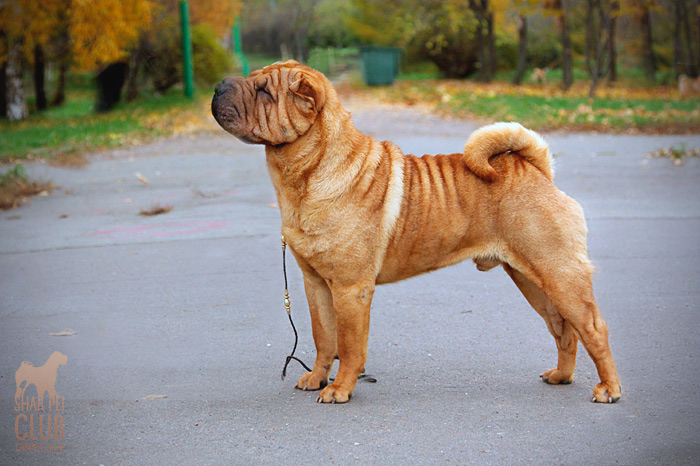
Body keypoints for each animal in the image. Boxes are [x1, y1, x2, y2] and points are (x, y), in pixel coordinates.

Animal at [211, 61, 621, 404]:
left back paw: (608, 389)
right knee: (563, 329)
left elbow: (350, 344)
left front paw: (340, 389)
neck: (305, 174)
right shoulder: (315, 283)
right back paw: (561, 376)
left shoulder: (350, 288)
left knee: (593, 327)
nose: (218, 85)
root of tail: (536, 170)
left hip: (558, 272)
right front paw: (316, 378)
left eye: (264, 91)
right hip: (530, 278)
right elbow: (323, 337)